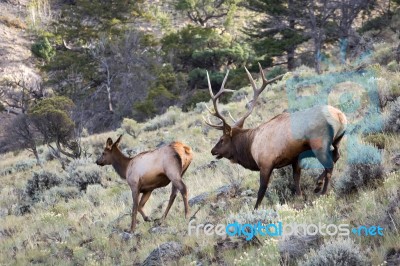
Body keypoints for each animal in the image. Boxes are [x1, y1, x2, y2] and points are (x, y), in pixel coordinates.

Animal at [203, 63, 346, 209]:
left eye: (222, 139)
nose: (213, 151)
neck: (249, 147)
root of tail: (340, 116)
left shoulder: (265, 163)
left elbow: (262, 190)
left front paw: (255, 209)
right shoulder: (295, 158)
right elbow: (296, 179)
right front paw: (300, 197)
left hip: (319, 144)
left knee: (329, 165)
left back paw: (323, 191)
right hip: (337, 140)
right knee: (336, 156)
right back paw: (318, 184)